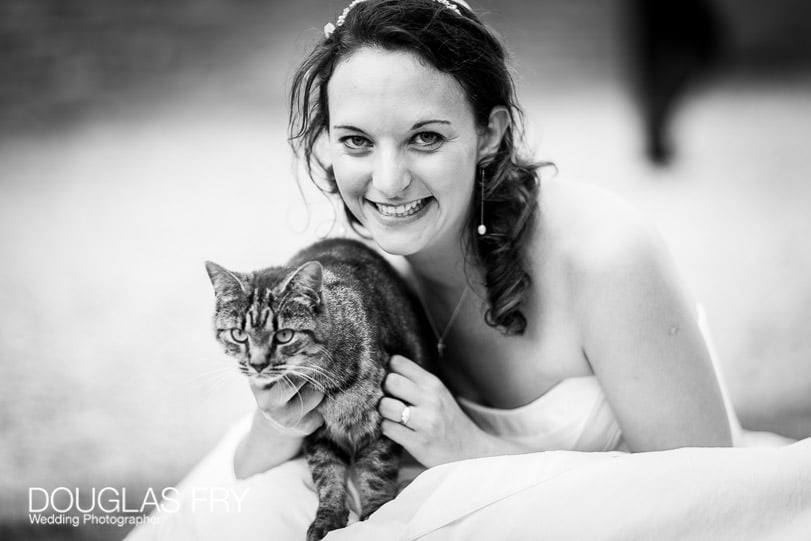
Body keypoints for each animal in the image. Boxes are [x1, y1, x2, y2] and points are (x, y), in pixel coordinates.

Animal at [206, 238, 434, 536]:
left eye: (284, 335)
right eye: (238, 334)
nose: (257, 364)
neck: (331, 389)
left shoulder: (381, 421)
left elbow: (376, 471)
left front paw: (376, 514)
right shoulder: (314, 432)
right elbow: (327, 474)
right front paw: (329, 518)